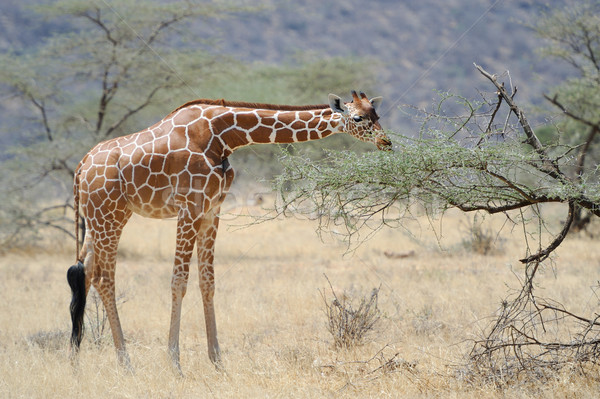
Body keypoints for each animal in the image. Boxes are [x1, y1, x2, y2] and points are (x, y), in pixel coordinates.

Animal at [68, 90, 392, 372]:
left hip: (104, 217)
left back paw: (75, 362)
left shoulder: (212, 209)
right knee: (103, 279)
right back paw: (126, 364)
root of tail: (80, 168)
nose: (386, 142)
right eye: (358, 118)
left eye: (377, 114)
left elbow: (207, 282)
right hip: (108, 214)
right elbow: (179, 281)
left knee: (84, 273)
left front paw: (217, 362)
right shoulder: (189, 207)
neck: (223, 136)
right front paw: (175, 364)